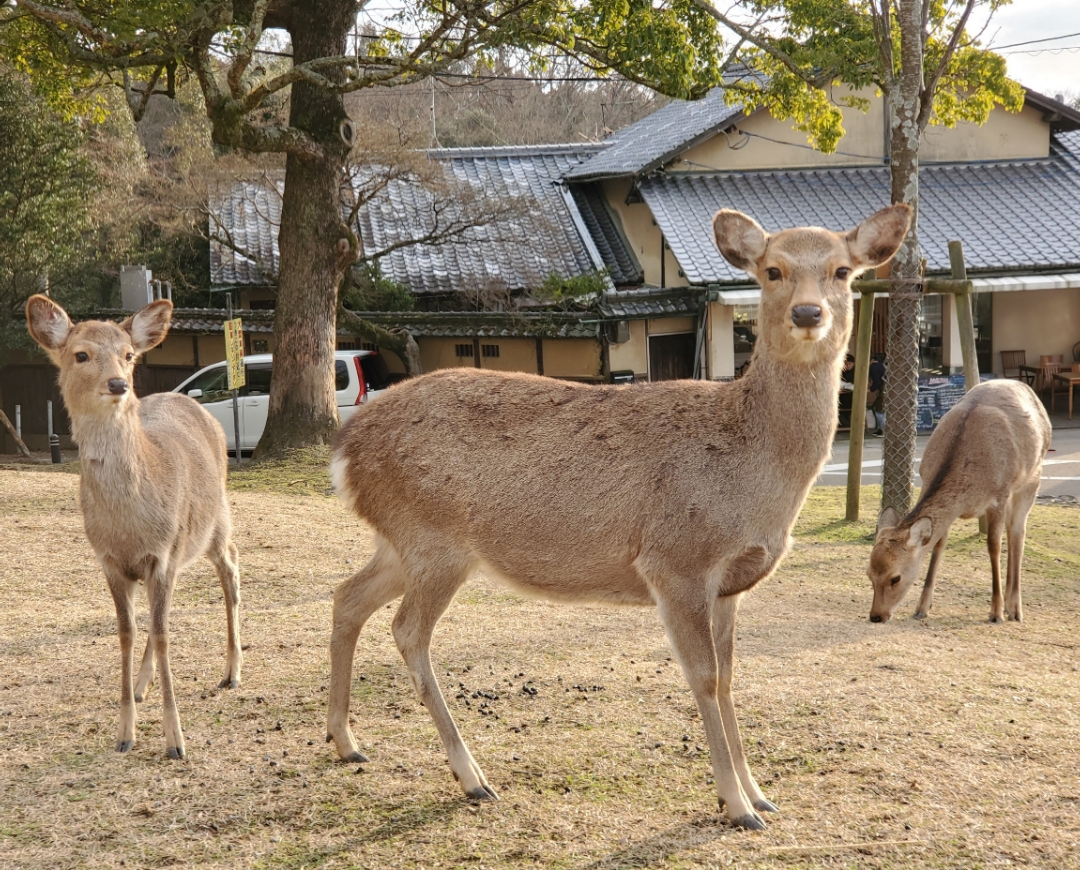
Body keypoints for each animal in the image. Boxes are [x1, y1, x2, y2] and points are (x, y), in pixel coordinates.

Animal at [24, 295, 245, 759]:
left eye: (128, 355)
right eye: (81, 354)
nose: (118, 384)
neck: (128, 525)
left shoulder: (162, 554)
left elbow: (162, 634)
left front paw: (176, 741)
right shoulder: (111, 561)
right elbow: (128, 631)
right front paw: (125, 731)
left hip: (215, 520)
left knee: (230, 568)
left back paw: (232, 672)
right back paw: (144, 686)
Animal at [326, 204, 911, 833]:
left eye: (842, 271)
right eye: (772, 270)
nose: (808, 313)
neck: (755, 483)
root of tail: (344, 450)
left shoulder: (730, 585)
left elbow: (731, 677)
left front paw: (760, 795)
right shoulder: (675, 561)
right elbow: (704, 677)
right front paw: (735, 806)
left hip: (400, 542)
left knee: (347, 596)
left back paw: (345, 741)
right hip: (435, 539)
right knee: (407, 630)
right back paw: (471, 777)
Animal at [868, 382, 1054, 626]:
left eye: (895, 578)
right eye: (869, 574)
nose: (875, 616)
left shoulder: (999, 495)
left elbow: (994, 546)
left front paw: (995, 612)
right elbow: (938, 545)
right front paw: (921, 608)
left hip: (1032, 478)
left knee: (1017, 532)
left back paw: (1014, 609)